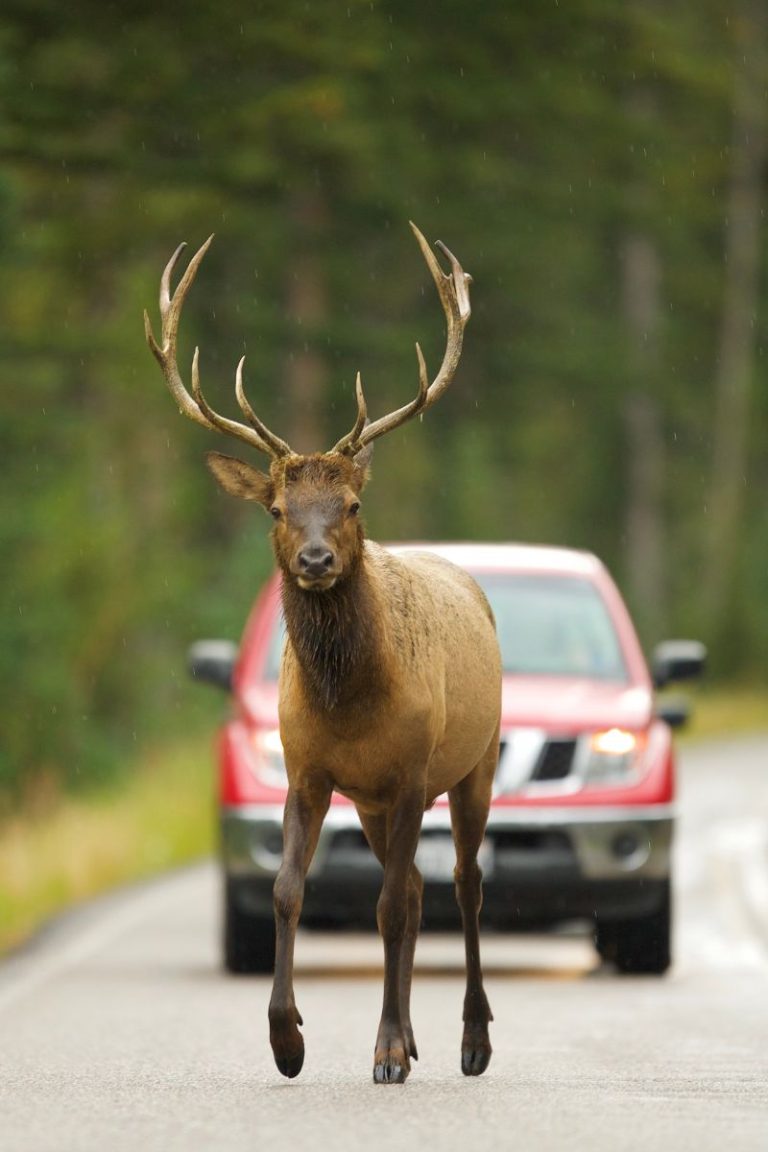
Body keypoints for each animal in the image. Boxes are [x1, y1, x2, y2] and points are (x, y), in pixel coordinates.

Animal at [145, 223, 502, 1085]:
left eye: (352, 503)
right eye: (277, 507)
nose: (314, 558)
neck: (351, 703)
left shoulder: (409, 772)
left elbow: (389, 906)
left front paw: (385, 1050)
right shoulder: (308, 770)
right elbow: (286, 889)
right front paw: (288, 1040)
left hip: (470, 766)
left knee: (463, 884)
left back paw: (471, 1038)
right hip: (370, 802)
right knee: (416, 884)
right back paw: (417, 1035)